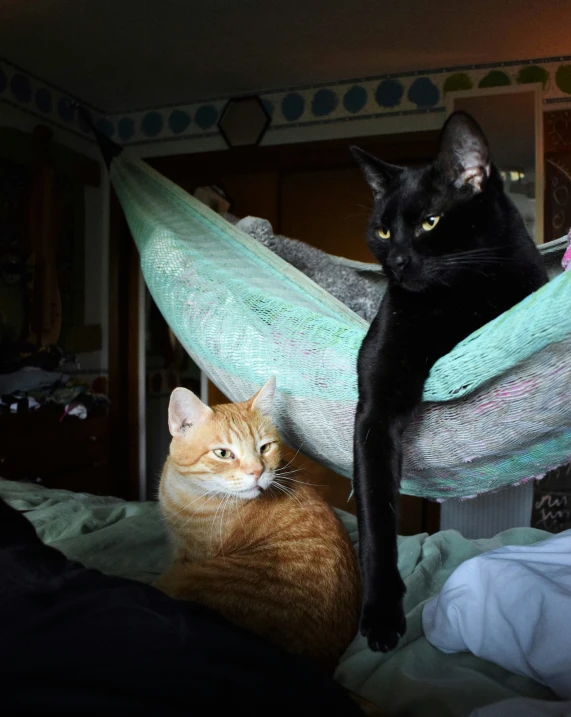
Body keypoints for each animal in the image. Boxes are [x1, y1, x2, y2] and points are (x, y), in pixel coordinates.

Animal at [354, 110, 548, 648]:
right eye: (382, 231)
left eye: (430, 222)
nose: (397, 262)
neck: (457, 300)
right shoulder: (376, 405)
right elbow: (377, 518)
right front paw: (381, 615)